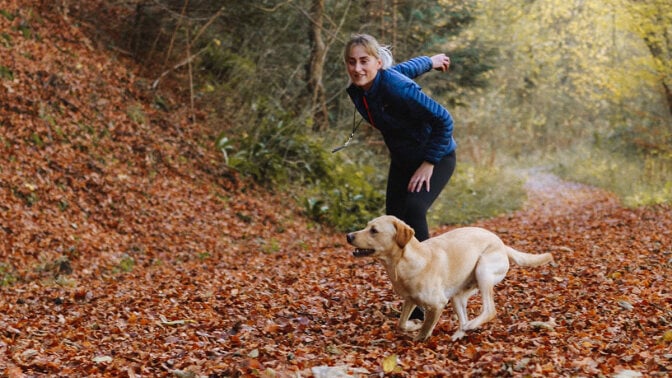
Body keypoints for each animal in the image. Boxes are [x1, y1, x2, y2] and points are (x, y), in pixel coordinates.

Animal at [346, 214, 552, 342]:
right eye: (367, 226)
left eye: (374, 230)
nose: (348, 235)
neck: (404, 263)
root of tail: (502, 243)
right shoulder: (410, 300)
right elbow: (401, 324)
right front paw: (413, 325)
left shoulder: (438, 304)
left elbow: (425, 328)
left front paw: (419, 337)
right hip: (458, 296)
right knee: (465, 317)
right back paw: (461, 332)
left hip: (483, 271)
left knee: (490, 310)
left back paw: (471, 325)